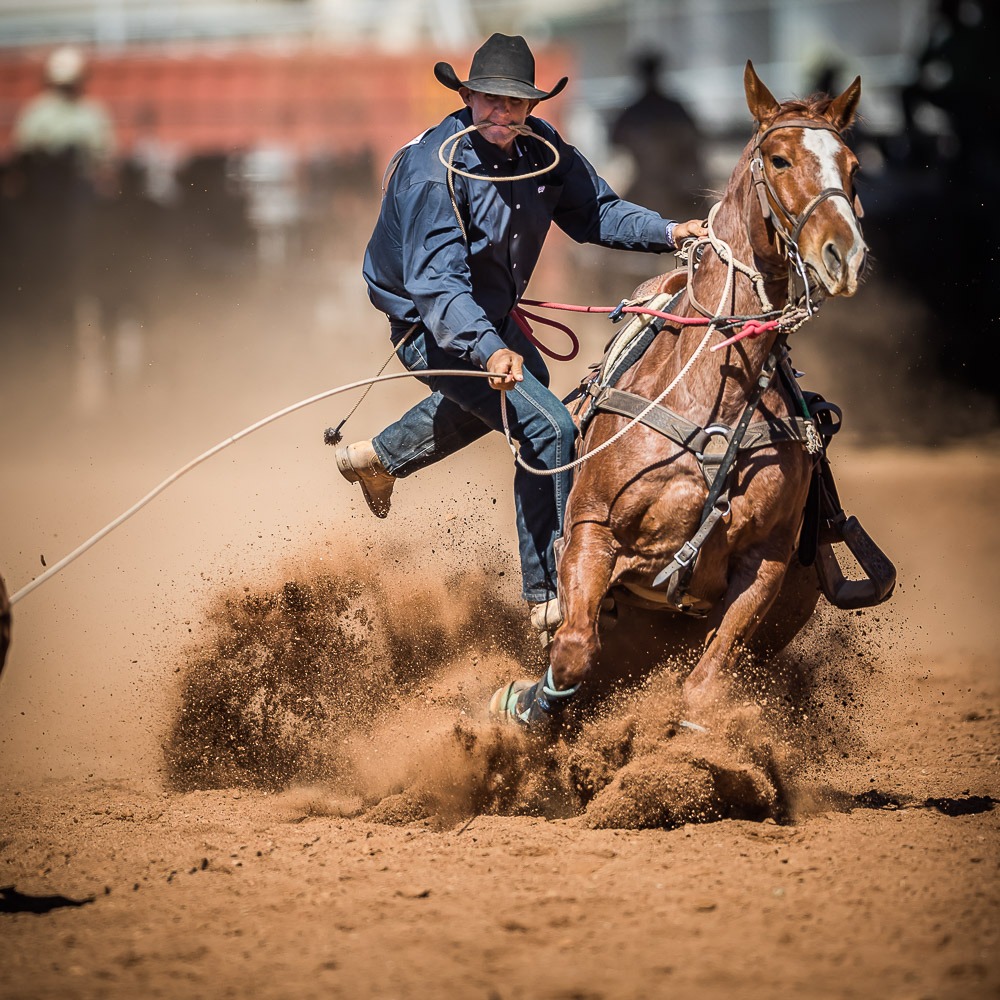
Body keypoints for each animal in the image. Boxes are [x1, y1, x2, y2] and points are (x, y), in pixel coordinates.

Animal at [496, 66, 872, 732]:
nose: (844, 254)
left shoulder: (765, 566)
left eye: (853, 168)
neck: (716, 399)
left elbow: (702, 690)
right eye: (778, 159)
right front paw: (523, 706)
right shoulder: (592, 531)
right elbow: (572, 649)